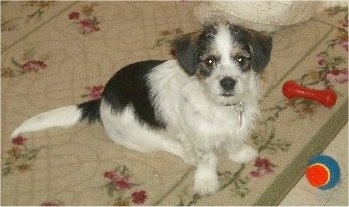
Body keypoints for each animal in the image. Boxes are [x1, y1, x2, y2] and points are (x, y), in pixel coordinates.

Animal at [11, 22, 272, 196]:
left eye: (241, 60)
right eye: (209, 61)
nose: (228, 83)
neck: (220, 105)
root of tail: (101, 100)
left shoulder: (236, 128)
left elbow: (233, 142)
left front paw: (240, 154)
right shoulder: (199, 137)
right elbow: (208, 159)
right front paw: (206, 183)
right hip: (141, 136)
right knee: (169, 145)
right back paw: (187, 155)